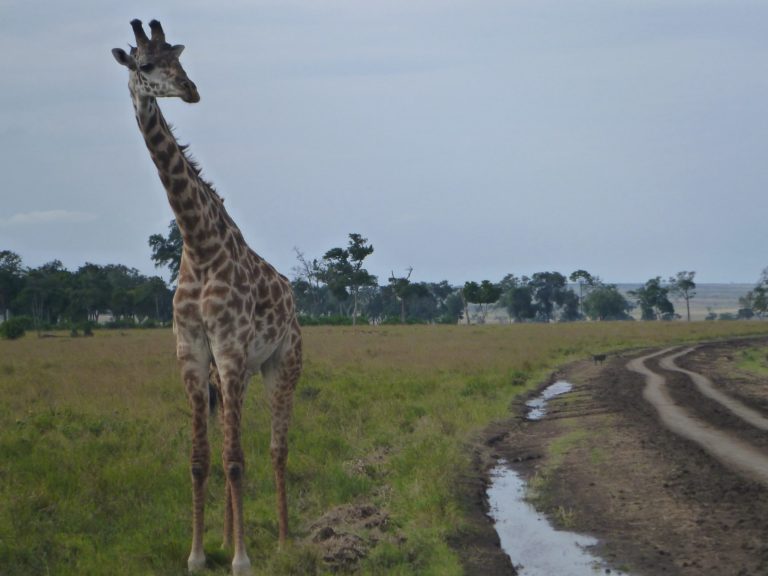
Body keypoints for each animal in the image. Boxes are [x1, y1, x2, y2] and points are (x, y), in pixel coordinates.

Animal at [112, 19, 304, 576]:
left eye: (178, 59)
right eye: (145, 64)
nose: (191, 90)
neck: (198, 245)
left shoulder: (232, 350)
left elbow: (236, 461)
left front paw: (242, 559)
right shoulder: (194, 353)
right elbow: (202, 460)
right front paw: (199, 553)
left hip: (282, 364)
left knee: (276, 449)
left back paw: (282, 539)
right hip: (236, 374)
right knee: (230, 451)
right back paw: (224, 535)